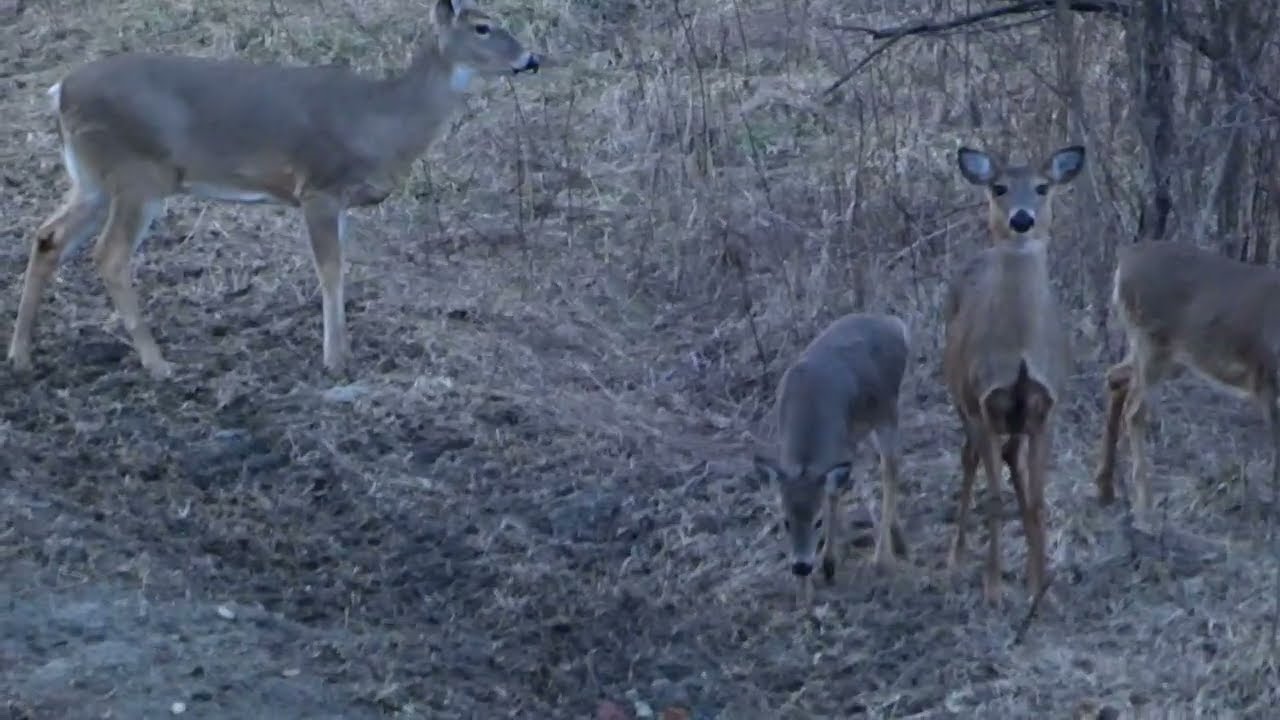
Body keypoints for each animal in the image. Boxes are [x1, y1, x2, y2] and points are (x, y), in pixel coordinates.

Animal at [7, 0, 541, 379]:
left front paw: (342, 350)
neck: (379, 120)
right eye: (483, 27)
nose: (532, 58)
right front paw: (334, 360)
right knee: (110, 255)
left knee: (48, 236)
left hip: (92, 178)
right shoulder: (319, 186)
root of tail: (60, 91)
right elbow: (330, 270)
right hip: (139, 173)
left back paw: (20, 356)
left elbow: (340, 267)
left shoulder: (339, 200)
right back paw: (158, 364)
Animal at [752, 312, 911, 606]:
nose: (801, 566)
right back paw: (896, 537)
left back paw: (883, 558)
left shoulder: (839, 446)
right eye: (785, 521)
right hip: (862, 429)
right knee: (867, 468)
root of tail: (896, 323)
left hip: (888, 412)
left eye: (818, 521)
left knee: (890, 469)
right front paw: (804, 594)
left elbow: (833, 496)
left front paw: (829, 562)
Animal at [942, 144, 1084, 607]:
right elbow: (994, 497)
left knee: (1010, 460)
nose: (1022, 219)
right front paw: (992, 587)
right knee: (969, 459)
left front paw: (1039, 584)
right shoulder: (983, 405)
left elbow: (1037, 498)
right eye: (999, 187)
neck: (1018, 352)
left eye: (1042, 187)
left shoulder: (1046, 409)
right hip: (960, 396)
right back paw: (955, 558)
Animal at [1093, 241, 1280, 518]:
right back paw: (1144, 504)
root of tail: (1125, 258)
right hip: (1152, 343)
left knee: (1115, 378)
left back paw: (1105, 489)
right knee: (1134, 412)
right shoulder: (1266, 379)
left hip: (1167, 357)